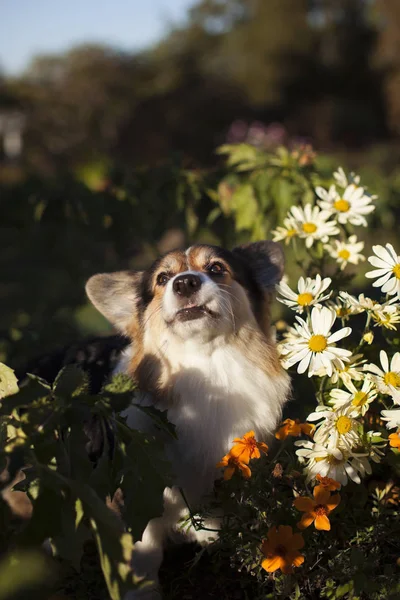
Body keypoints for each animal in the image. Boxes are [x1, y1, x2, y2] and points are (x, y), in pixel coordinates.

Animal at [85, 241, 290, 596]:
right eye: (163, 278)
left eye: (217, 268)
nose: (185, 283)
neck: (207, 369)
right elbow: (143, 551)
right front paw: (141, 591)